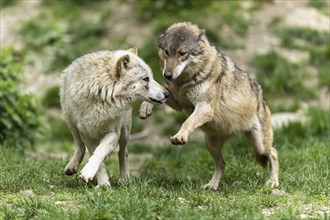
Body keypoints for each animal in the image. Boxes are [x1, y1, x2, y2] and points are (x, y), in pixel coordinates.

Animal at [59, 47, 169, 186]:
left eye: (151, 78)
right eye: (146, 79)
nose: (168, 94)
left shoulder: (114, 133)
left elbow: (100, 152)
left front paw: (93, 175)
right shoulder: (87, 134)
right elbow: (97, 158)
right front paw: (102, 183)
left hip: (124, 132)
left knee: (123, 152)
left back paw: (124, 179)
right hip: (72, 124)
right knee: (80, 145)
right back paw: (71, 166)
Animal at [138, 22, 280, 191]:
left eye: (182, 53)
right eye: (166, 52)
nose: (168, 75)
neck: (184, 82)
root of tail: (262, 98)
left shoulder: (204, 107)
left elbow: (187, 122)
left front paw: (179, 137)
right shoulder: (178, 102)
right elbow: (160, 92)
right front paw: (145, 108)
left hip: (260, 145)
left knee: (273, 153)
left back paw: (273, 182)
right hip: (211, 144)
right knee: (222, 164)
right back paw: (212, 185)